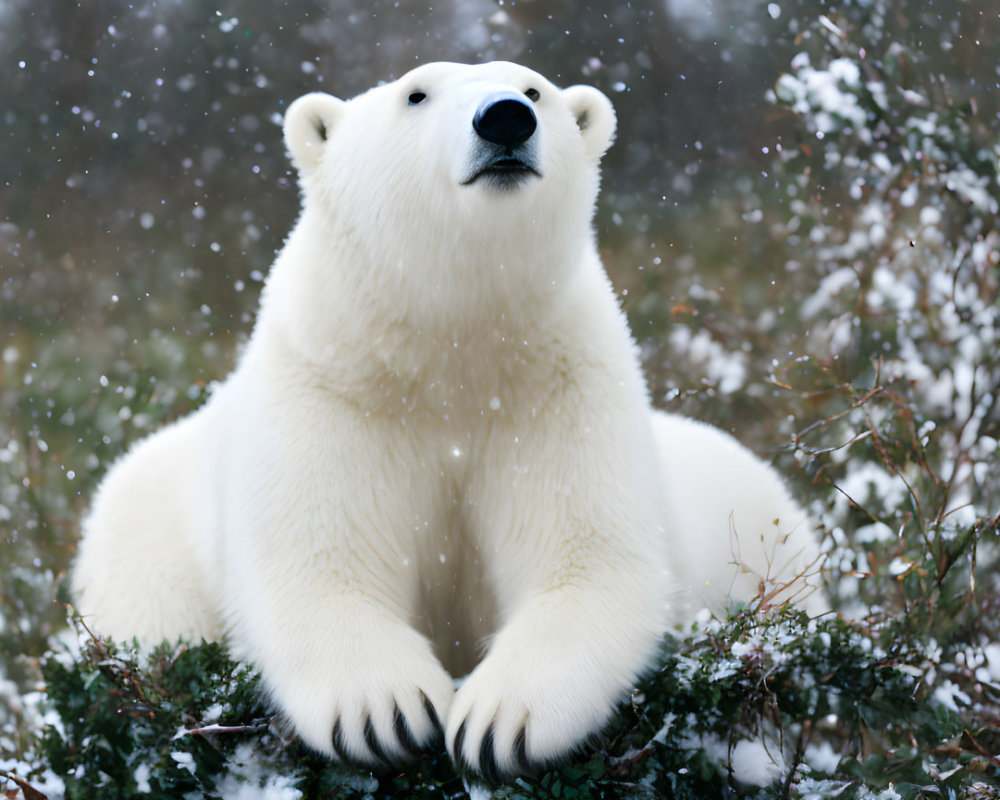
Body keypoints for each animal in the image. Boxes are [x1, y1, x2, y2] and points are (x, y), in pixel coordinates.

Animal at [72, 61, 828, 780]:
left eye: (534, 88)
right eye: (415, 93)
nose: (506, 118)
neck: (451, 354)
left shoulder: (560, 393)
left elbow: (591, 560)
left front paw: (499, 726)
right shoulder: (330, 392)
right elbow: (317, 562)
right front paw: (387, 714)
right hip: (139, 544)